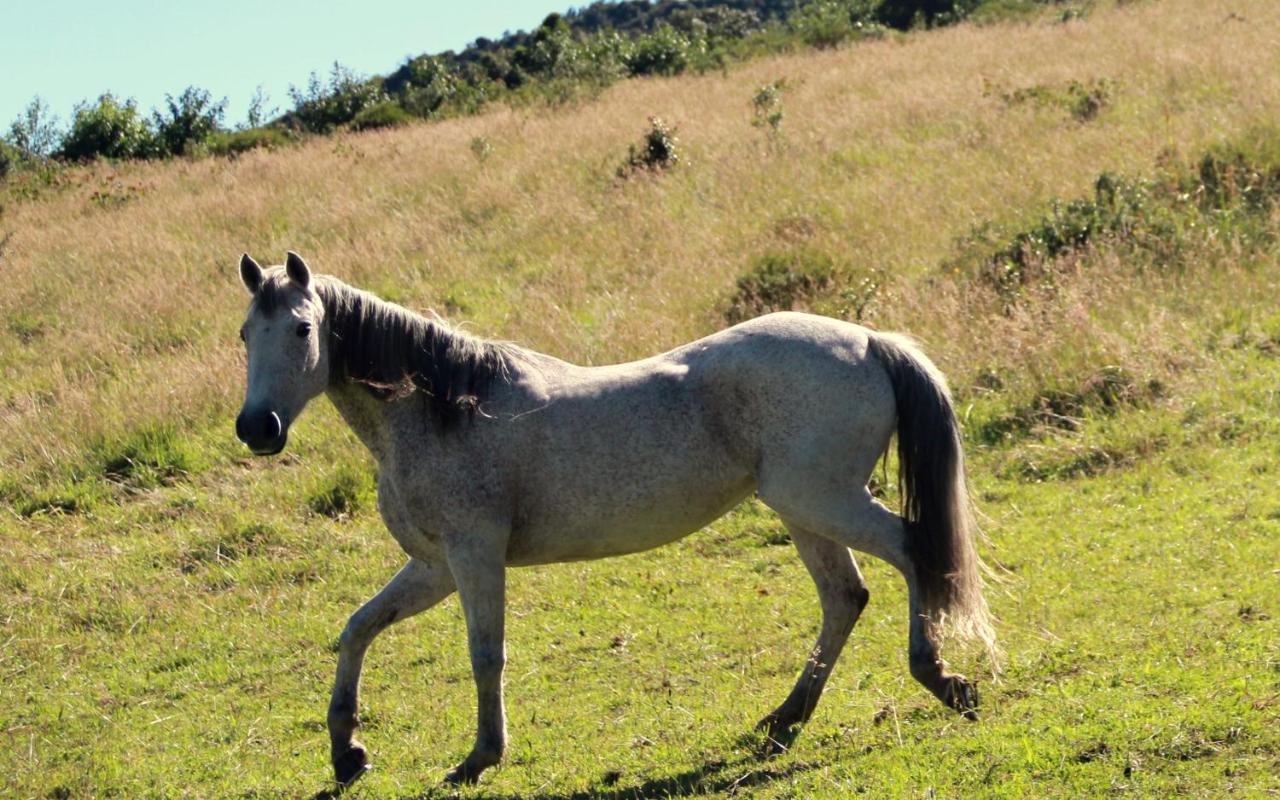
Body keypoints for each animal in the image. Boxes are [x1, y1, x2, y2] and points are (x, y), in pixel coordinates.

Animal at [235, 250, 993, 788]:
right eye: (246, 333)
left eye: (302, 328)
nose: (256, 428)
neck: (447, 408)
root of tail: (868, 339)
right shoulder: (434, 567)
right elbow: (357, 629)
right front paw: (347, 752)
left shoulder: (474, 556)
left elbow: (485, 654)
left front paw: (479, 757)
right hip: (801, 507)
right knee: (845, 596)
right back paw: (783, 722)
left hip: (822, 499)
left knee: (913, 553)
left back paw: (943, 681)